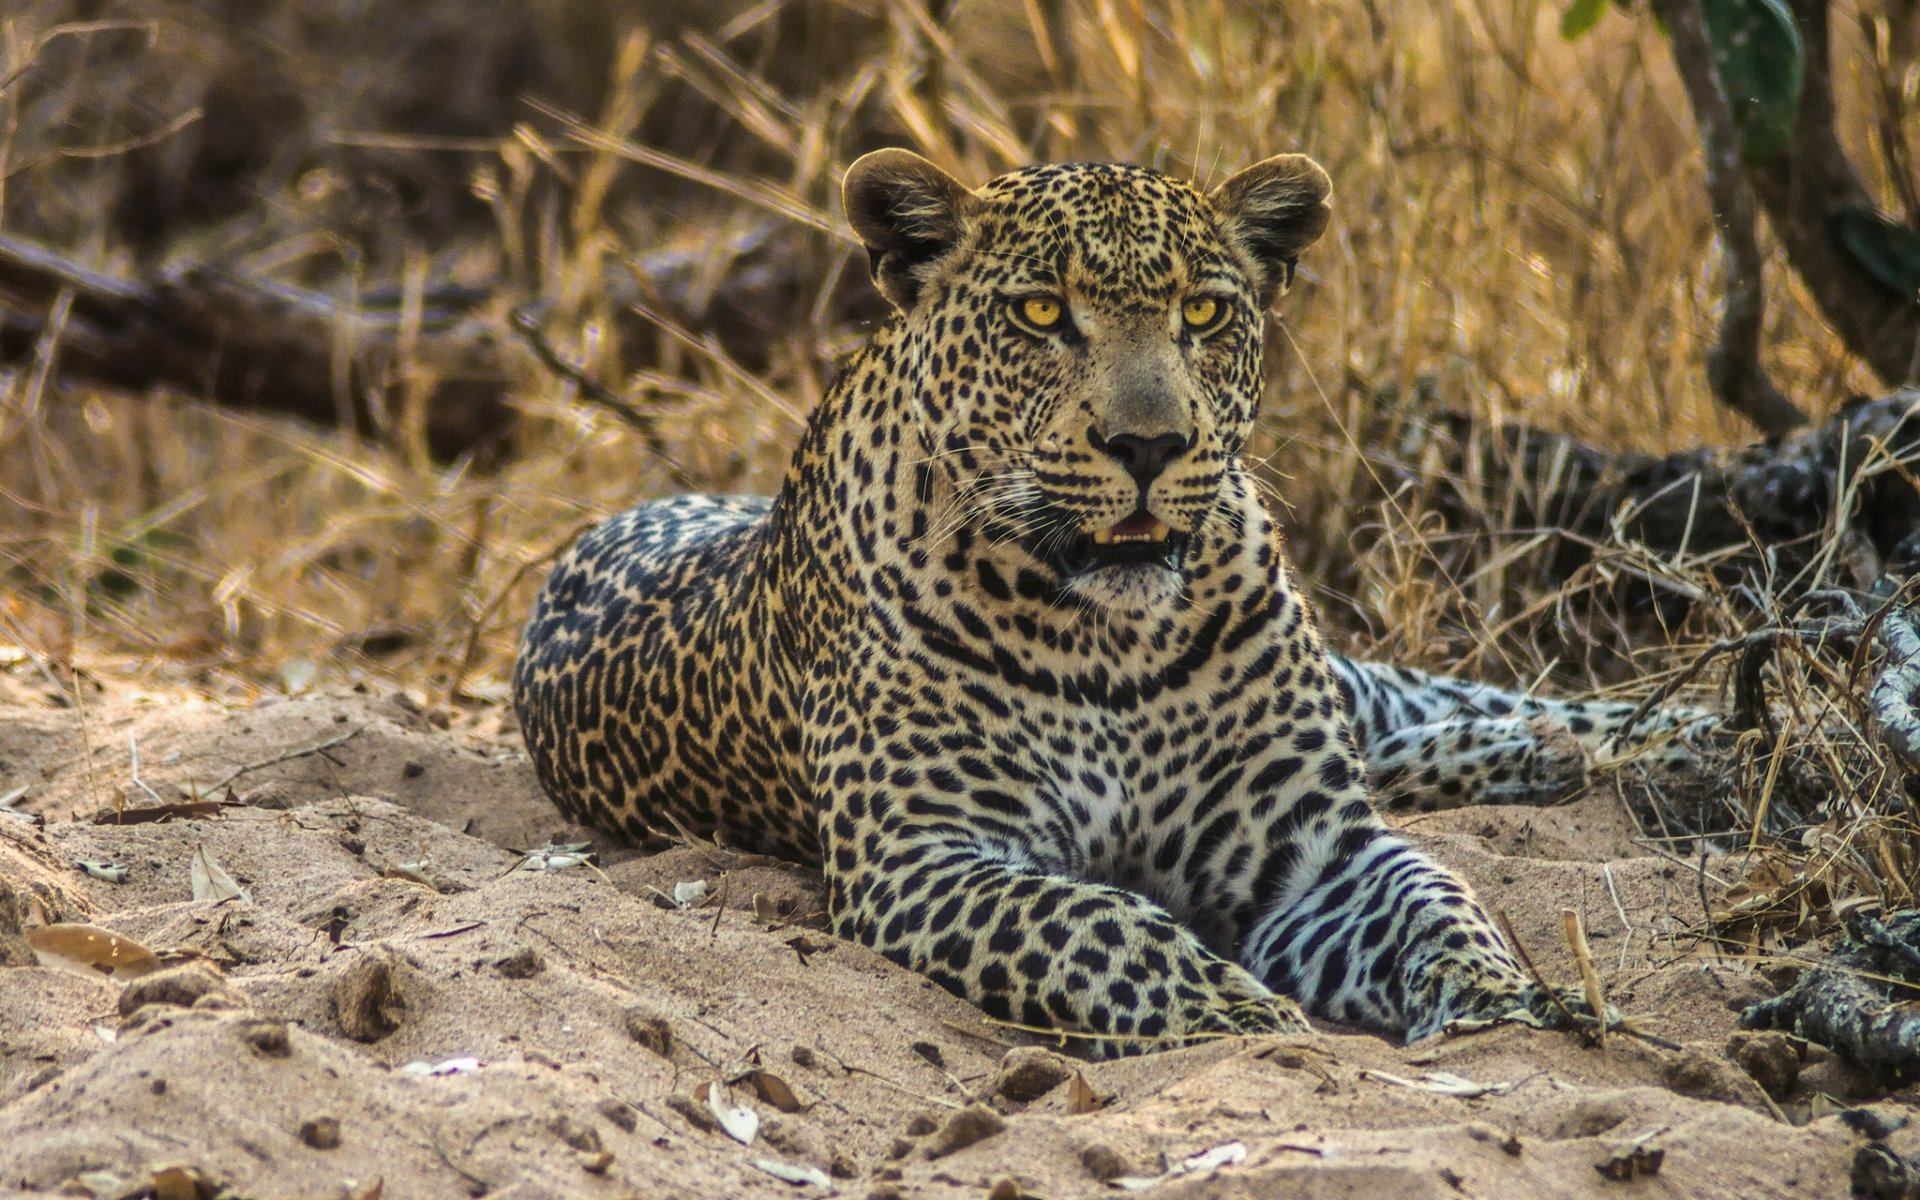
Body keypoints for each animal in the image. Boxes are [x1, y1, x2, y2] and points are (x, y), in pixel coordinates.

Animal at [514, 149, 1709, 1052]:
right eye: (1043, 313)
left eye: (1205, 311)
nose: (1149, 445)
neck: (1110, 640)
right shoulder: (926, 855)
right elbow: (1094, 923)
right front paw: (1240, 1013)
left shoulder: (1316, 845)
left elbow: (1434, 896)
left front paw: (1497, 996)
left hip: (1349, 681)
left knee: (1424, 702)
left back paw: (1660, 733)